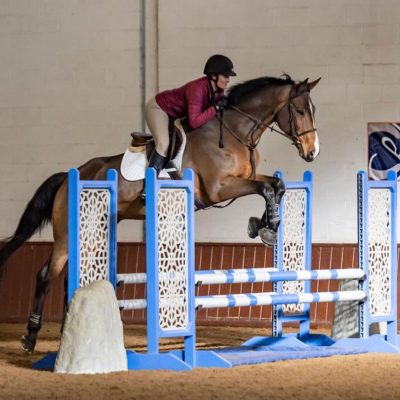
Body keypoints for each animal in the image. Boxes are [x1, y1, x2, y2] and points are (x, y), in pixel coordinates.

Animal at [0, 73, 318, 352]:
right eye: (301, 110)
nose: (312, 152)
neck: (234, 133)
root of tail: (69, 176)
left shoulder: (245, 179)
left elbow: (275, 185)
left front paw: (264, 224)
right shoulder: (219, 189)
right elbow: (264, 188)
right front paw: (267, 225)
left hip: (93, 231)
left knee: (71, 278)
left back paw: (70, 332)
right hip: (67, 234)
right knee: (46, 275)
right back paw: (30, 338)